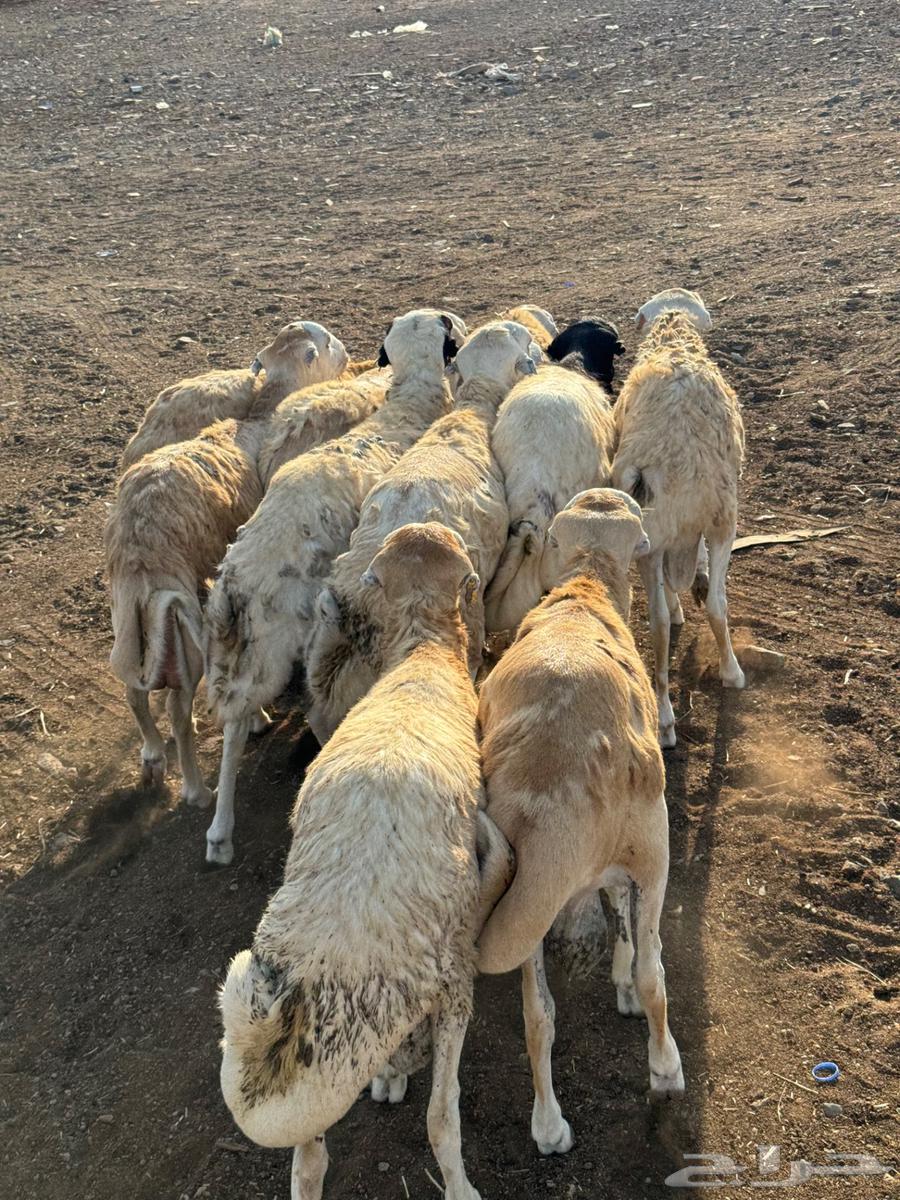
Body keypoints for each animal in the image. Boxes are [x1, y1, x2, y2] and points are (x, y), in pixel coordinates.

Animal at [105, 418, 271, 804]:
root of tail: (140, 564)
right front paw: (257, 719)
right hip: (181, 619)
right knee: (177, 709)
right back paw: (197, 790)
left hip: (132, 623)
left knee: (134, 692)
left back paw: (152, 755)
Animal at [203, 308, 467, 866]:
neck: (410, 402)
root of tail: (236, 578)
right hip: (276, 643)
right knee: (234, 720)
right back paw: (220, 830)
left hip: (243, 643)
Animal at [219, 522, 514, 1200]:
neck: (421, 659)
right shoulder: (455, 981)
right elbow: (440, 1115)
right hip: (442, 978)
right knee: (439, 1117)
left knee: (308, 1163)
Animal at [475, 489, 684, 1158]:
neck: (585, 587)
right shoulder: (645, 853)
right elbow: (644, 962)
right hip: (652, 842)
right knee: (653, 974)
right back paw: (664, 1067)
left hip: (524, 893)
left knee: (537, 1015)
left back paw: (547, 1123)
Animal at [612, 288, 745, 748]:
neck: (673, 339)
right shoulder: (712, 523)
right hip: (715, 518)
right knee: (687, 615)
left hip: (656, 532)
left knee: (666, 619)